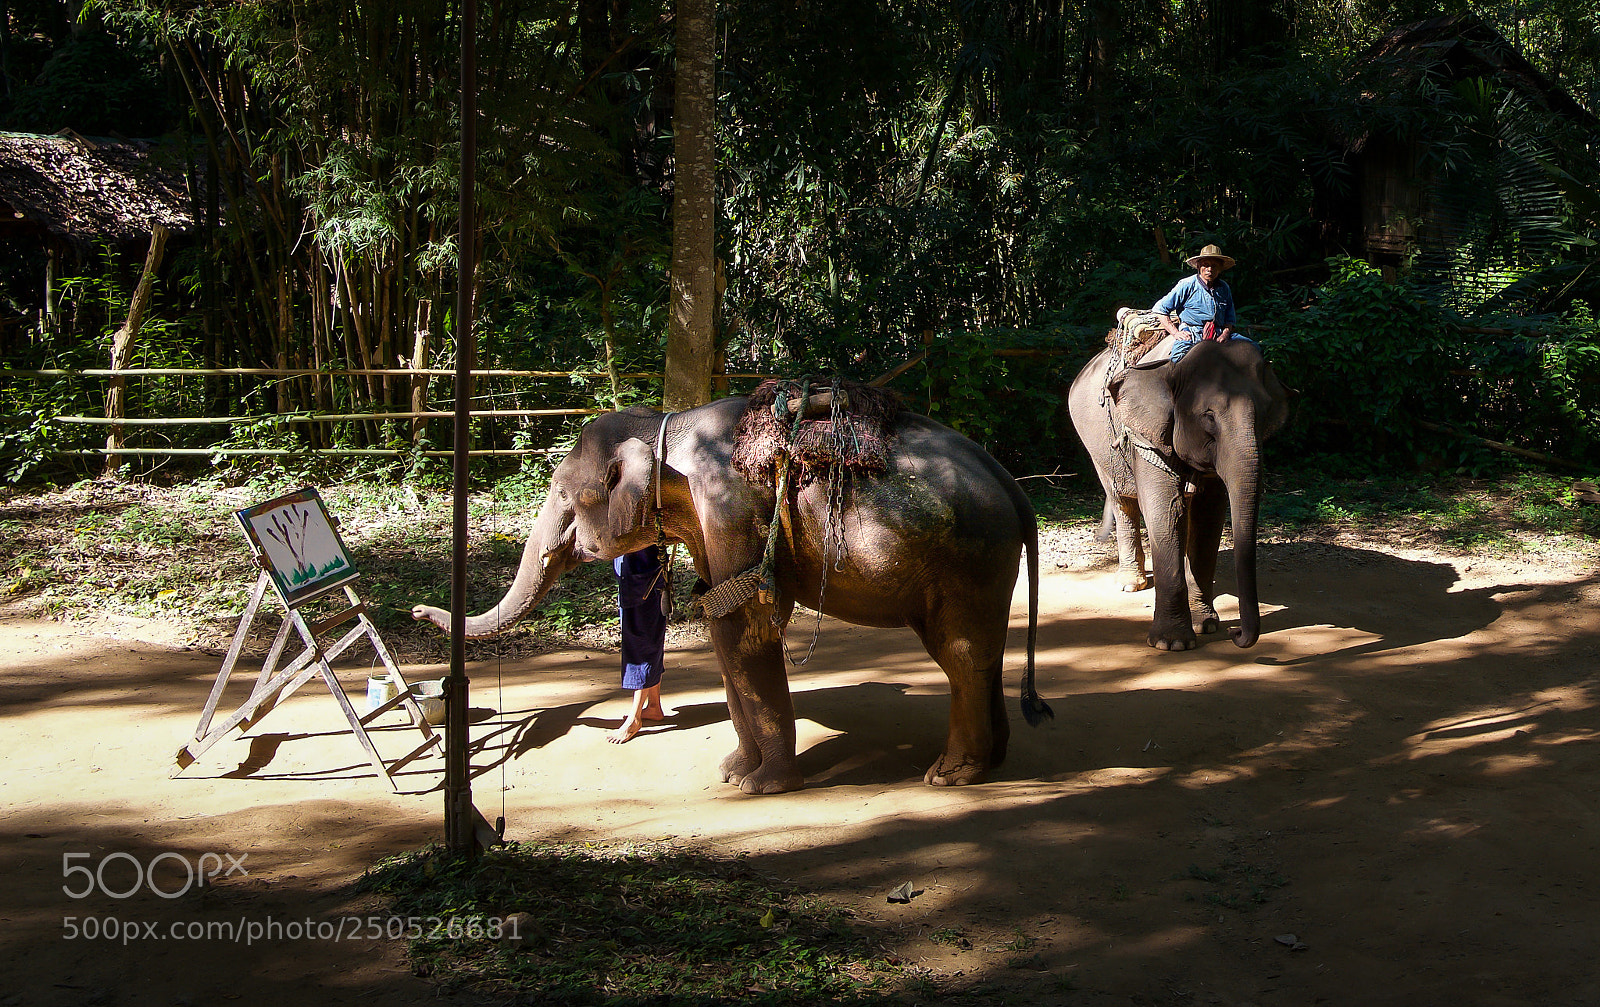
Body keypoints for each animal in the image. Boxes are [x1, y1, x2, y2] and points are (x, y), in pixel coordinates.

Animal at [412, 391, 1046, 794]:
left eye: (567, 496)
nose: (418, 611)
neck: (669, 425)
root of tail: (1016, 490)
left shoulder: (730, 506)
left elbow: (744, 623)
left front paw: (761, 786)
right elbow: (719, 618)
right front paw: (731, 772)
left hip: (969, 557)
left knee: (961, 656)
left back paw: (949, 776)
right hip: (975, 565)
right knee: (977, 652)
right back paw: (991, 762)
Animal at [1067, 337, 1292, 651]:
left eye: (1265, 415)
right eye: (1209, 417)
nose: (1236, 634)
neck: (1177, 366)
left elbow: (1207, 517)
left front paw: (1205, 625)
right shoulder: (1147, 437)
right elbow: (1165, 510)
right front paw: (1172, 644)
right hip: (1095, 444)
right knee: (1122, 501)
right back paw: (1131, 584)